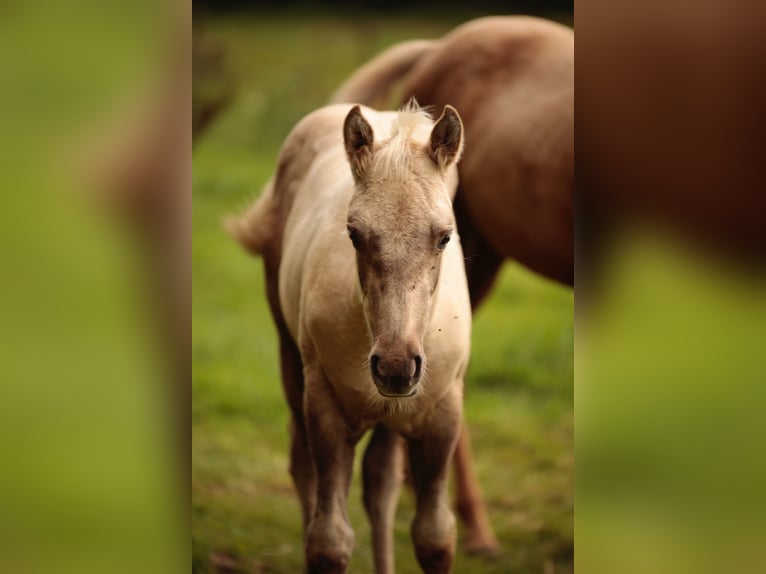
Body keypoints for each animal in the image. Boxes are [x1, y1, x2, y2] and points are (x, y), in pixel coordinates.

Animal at [228, 101, 472, 572]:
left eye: (445, 237)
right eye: (355, 235)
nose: (395, 366)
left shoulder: (442, 409)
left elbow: (435, 536)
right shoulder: (326, 405)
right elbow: (329, 540)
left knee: (380, 482)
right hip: (292, 361)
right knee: (302, 465)